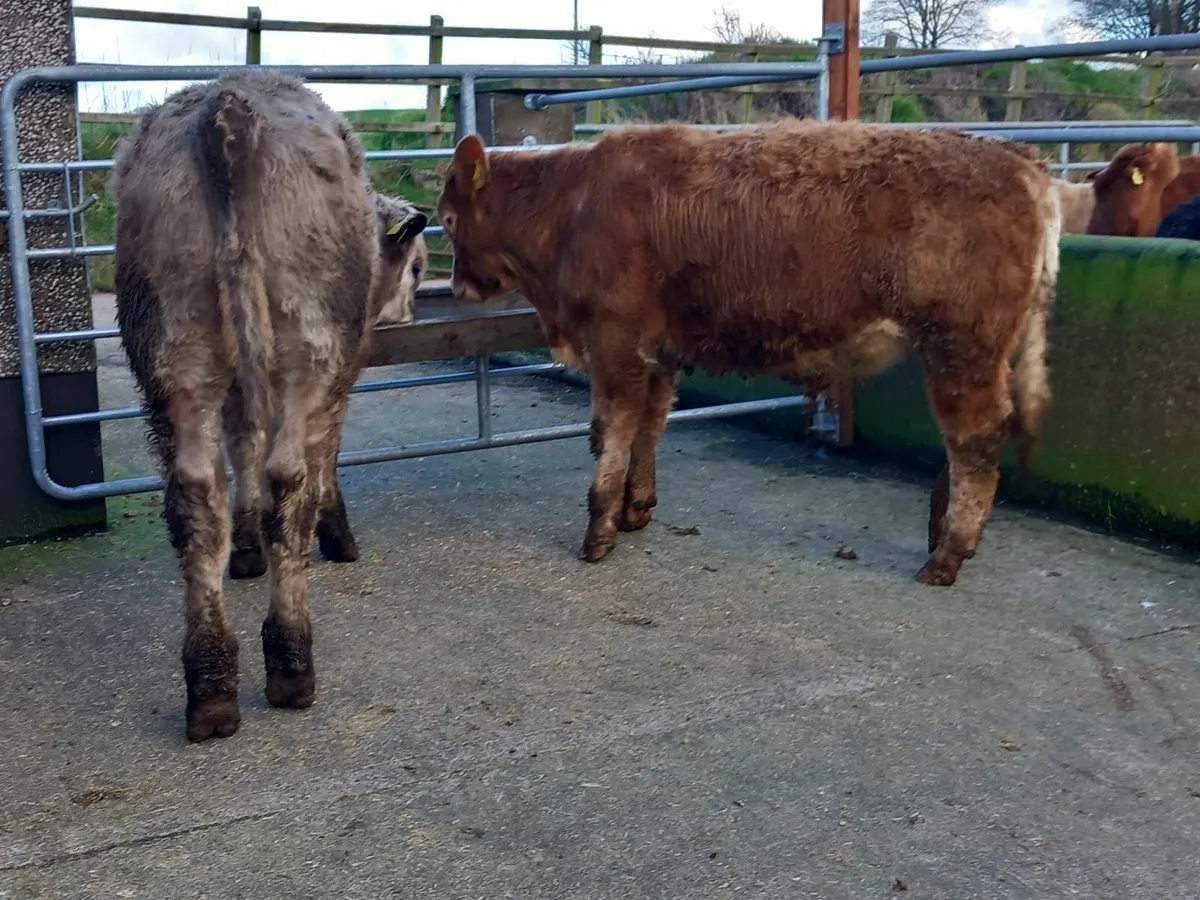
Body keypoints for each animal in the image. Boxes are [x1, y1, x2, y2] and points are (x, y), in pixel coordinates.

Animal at [111, 70, 428, 742]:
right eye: (417, 267)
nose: (410, 311)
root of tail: (230, 110)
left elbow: (242, 445)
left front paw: (248, 547)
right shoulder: (341, 374)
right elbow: (319, 459)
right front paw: (338, 534)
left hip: (174, 347)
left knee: (197, 493)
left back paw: (210, 685)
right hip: (308, 346)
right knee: (291, 481)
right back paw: (290, 662)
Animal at [436, 119, 1061, 587]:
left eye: (447, 217)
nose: (459, 285)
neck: (573, 205)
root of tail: (1019, 162)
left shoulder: (615, 341)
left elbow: (610, 432)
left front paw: (599, 530)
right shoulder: (659, 352)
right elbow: (650, 425)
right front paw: (636, 508)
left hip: (959, 345)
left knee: (975, 439)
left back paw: (947, 553)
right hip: (975, 354)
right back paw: (943, 527)